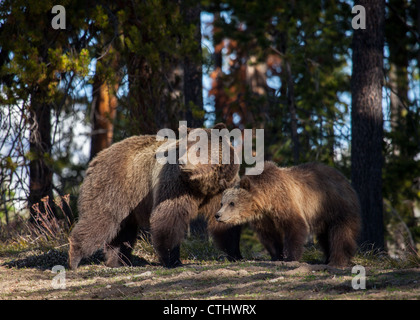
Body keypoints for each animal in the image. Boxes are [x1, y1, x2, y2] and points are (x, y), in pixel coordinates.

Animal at [67, 124, 241, 268]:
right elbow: (170, 218)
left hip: (128, 203)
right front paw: (173, 259)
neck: (204, 185)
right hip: (113, 187)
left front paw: (236, 254)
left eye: (198, 149)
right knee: (99, 220)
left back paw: (118, 261)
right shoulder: (176, 185)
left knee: (123, 233)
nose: (182, 162)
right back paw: (74, 258)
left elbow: (227, 220)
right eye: (184, 148)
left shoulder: (222, 190)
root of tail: (98, 157)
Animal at [217, 161, 360, 266]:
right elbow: (269, 235)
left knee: (341, 232)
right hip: (323, 215)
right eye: (222, 203)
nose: (218, 215)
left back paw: (338, 259)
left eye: (232, 203)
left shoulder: (284, 200)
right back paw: (327, 258)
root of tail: (344, 179)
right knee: (325, 236)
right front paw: (276, 256)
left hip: (335, 205)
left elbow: (295, 226)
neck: (267, 199)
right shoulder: (264, 217)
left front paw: (290, 257)